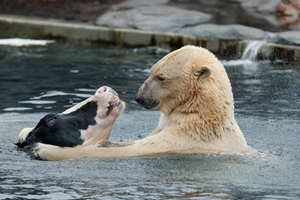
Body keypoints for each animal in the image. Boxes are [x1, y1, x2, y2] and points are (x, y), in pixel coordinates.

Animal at [33, 45, 253, 161]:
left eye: (161, 77)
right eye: (151, 71)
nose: (139, 97)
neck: (199, 115)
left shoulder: (183, 140)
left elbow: (129, 150)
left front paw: (44, 150)